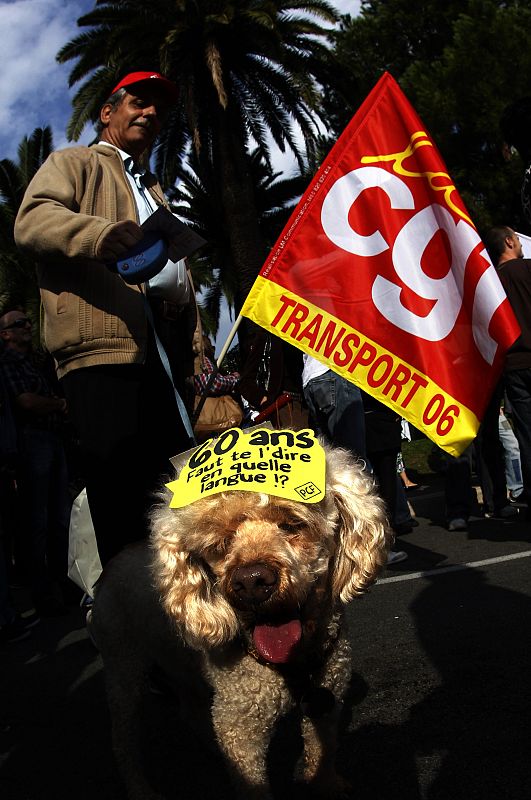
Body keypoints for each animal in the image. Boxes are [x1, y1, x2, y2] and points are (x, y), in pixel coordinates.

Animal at [90, 444, 390, 800]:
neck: (292, 665)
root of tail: (107, 569)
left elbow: (322, 750)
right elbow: (251, 780)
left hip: (178, 663)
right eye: (221, 542)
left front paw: (327, 786)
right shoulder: (241, 727)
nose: (251, 582)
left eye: (292, 524)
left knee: (190, 709)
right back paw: (139, 788)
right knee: (123, 742)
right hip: (123, 667)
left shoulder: (327, 699)